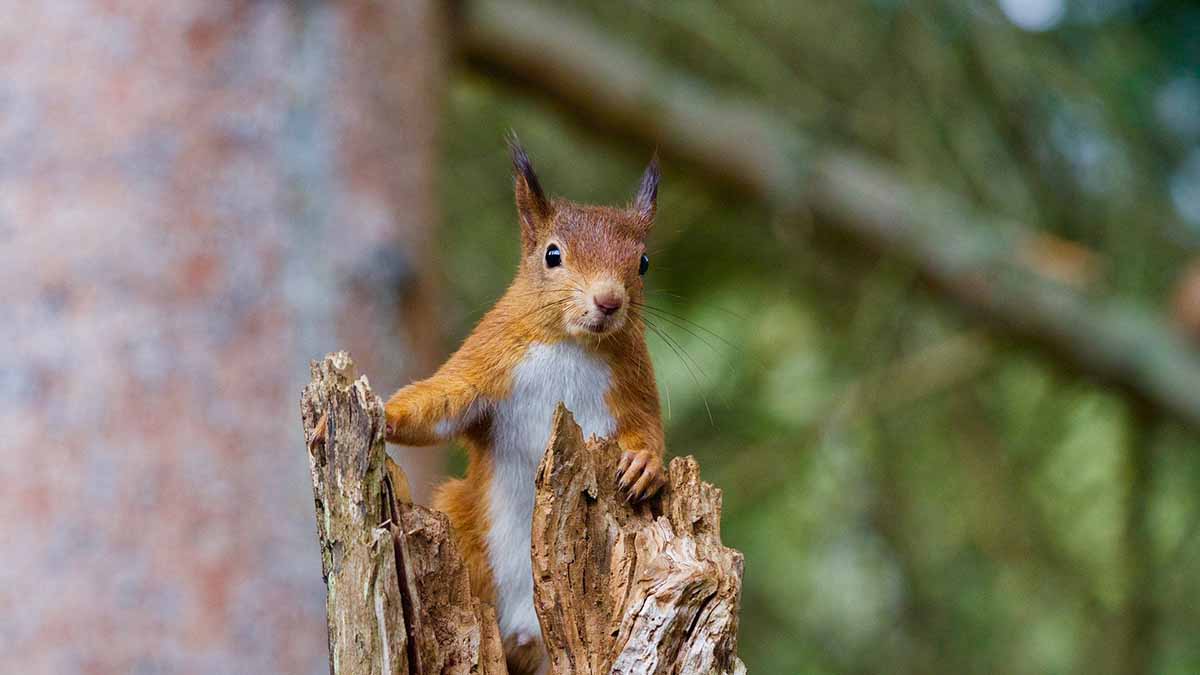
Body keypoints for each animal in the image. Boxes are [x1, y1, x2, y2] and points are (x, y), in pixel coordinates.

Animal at [384, 139, 667, 667]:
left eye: (642, 263)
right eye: (552, 254)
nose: (609, 301)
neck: (571, 344)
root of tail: (522, 632)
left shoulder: (633, 383)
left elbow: (648, 426)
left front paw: (645, 464)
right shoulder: (487, 362)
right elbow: (441, 404)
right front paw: (383, 414)